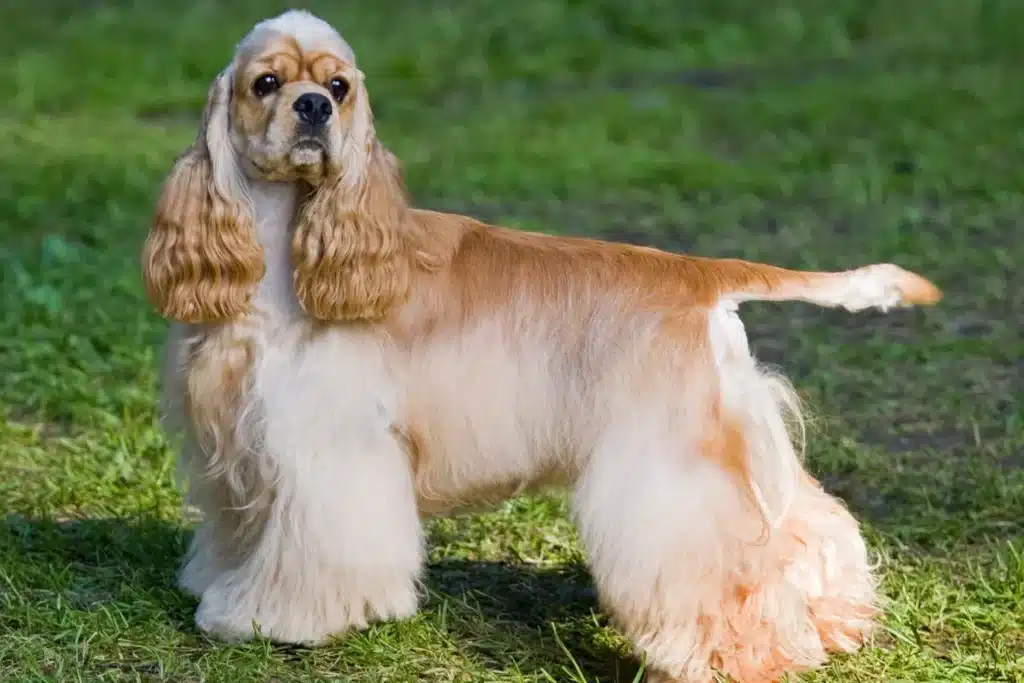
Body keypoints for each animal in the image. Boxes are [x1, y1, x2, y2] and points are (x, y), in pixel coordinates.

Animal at [140, 12, 937, 683]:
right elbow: (240, 529)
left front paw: (267, 618)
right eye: (266, 83)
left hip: (672, 464)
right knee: (808, 528)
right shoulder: (234, 442)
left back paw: (735, 655)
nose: (314, 108)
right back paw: (836, 622)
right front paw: (221, 587)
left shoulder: (328, 449)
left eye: (338, 85)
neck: (285, 247)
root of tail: (700, 274)